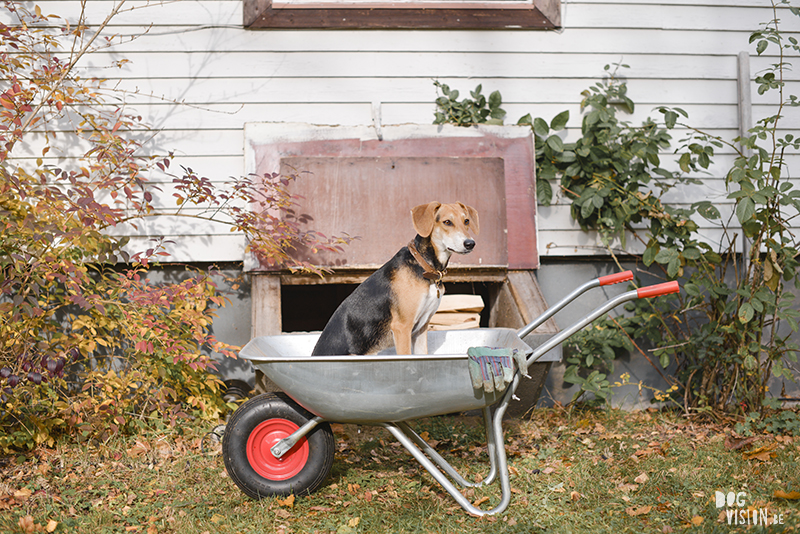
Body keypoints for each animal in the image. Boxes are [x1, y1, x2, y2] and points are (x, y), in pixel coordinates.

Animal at [310, 203, 476, 358]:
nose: (470, 243)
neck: (425, 266)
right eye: (447, 222)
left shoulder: (421, 329)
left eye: (466, 221)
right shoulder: (402, 327)